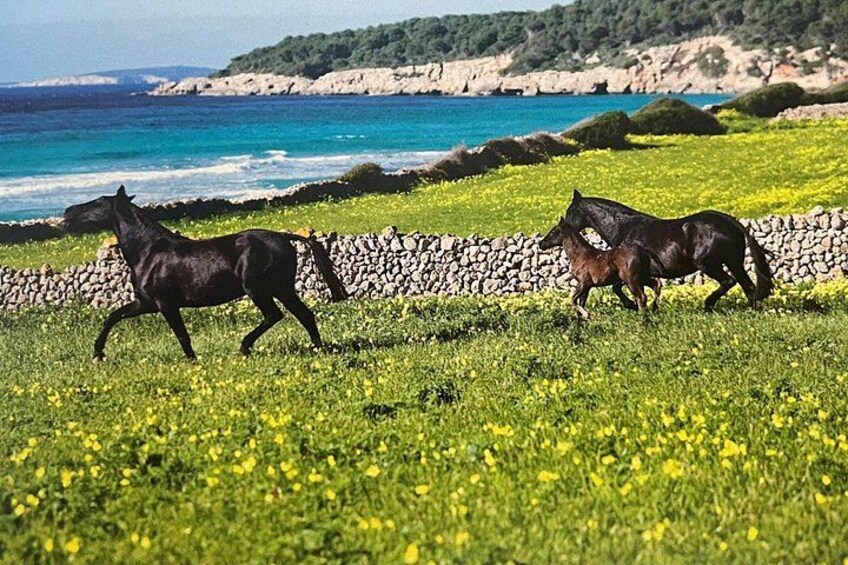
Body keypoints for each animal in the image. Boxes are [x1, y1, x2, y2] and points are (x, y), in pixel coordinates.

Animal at [61, 186, 349, 361]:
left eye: (98, 202)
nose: (67, 212)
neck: (149, 251)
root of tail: (282, 237)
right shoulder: (146, 303)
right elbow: (113, 316)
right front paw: (98, 354)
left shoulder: (166, 304)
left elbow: (181, 334)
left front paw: (192, 360)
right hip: (282, 288)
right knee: (304, 315)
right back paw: (318, 348)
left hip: (258, 290)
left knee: (274, 315)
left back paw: (244, 347)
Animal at [561, 190, 774, 310]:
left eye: (569, 211)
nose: (562, 227)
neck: (624, 228)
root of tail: (729, 221)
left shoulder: (631, 274)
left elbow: (618, 288)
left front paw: (633, 305)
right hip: (734, 262)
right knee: (748, 286)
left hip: (709, 265)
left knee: (729, 281)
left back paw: (708, 304)